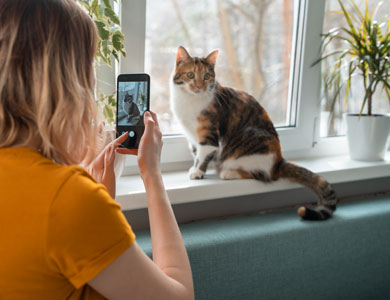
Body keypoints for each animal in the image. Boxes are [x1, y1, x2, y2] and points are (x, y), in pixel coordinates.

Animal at [171, 46, 338, 220]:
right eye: (190, 75)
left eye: (206, 76)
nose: (199, 86)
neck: (190, 100)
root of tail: (279, 161)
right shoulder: (192, 138)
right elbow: (196, 153)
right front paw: (195, 168)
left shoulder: (208, 135)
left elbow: (203, 155)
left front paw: (197, 172)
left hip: (249, 145)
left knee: (262, 175)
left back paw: (228, 173)